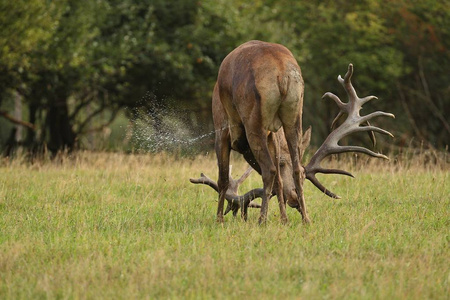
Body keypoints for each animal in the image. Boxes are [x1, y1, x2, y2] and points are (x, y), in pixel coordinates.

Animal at [194, 39, 394, 224]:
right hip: (295, 114)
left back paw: (262, 220)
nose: (294, 199)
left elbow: (223, 179)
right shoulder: (273, 135)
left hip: (253, 121)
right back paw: (306, 218)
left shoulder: (221, 128)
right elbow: (280, 180)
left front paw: (219, 219)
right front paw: (284, 218)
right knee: (296, 168)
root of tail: (282, 71)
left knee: (268, 170)